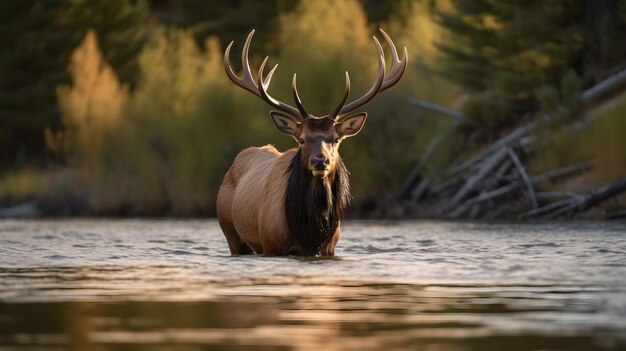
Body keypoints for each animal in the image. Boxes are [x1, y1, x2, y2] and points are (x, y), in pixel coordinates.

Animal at [217, 28, 408, 258]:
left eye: (336, 139)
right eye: (301, 139)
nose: (320, 161)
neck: (311, 232)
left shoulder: (329, 248)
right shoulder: (270, 245)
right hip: (230, 231)